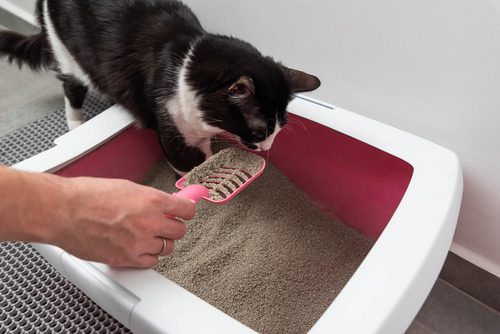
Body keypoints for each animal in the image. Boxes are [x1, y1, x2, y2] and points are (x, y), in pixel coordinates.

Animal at [0, 0, 320, 172]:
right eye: (258, 131)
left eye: (279, 129)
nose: (267, 147)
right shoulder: (172, 129)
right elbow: (188, 166)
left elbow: (207, 156)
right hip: (67, 54)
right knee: (72, 89)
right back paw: (76, 124)